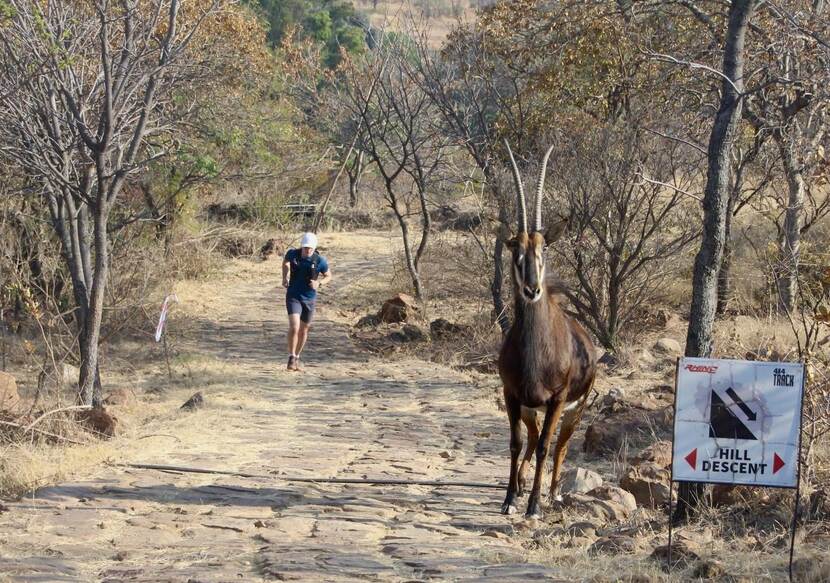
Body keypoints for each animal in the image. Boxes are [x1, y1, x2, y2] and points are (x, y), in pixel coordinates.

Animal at [500, 143, 600, 520]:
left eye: (544, 247)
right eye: (514, 247)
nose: (532, 289)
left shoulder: (557, 400)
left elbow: (545, 446)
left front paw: (534, 506)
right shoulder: (512, 394)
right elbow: (515, 443)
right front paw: (510, 499)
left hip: (574, 409)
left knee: (560, 445)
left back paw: (554, 493)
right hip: (532, 409)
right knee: (529, 440)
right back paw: (522, 485)